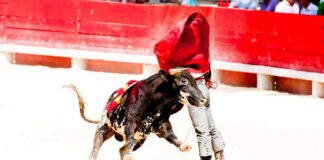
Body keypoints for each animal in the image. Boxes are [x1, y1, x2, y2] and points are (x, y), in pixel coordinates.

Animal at [65, 69, 208, 160]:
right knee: (94, 152)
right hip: (103, 128)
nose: (204, 100)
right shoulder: (131, 122)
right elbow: (130, 137)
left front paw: (184, 145)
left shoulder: (162, 122)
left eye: (195, 83)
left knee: (122, 150)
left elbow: (170, 135)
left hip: (140, 140)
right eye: (183, 83)